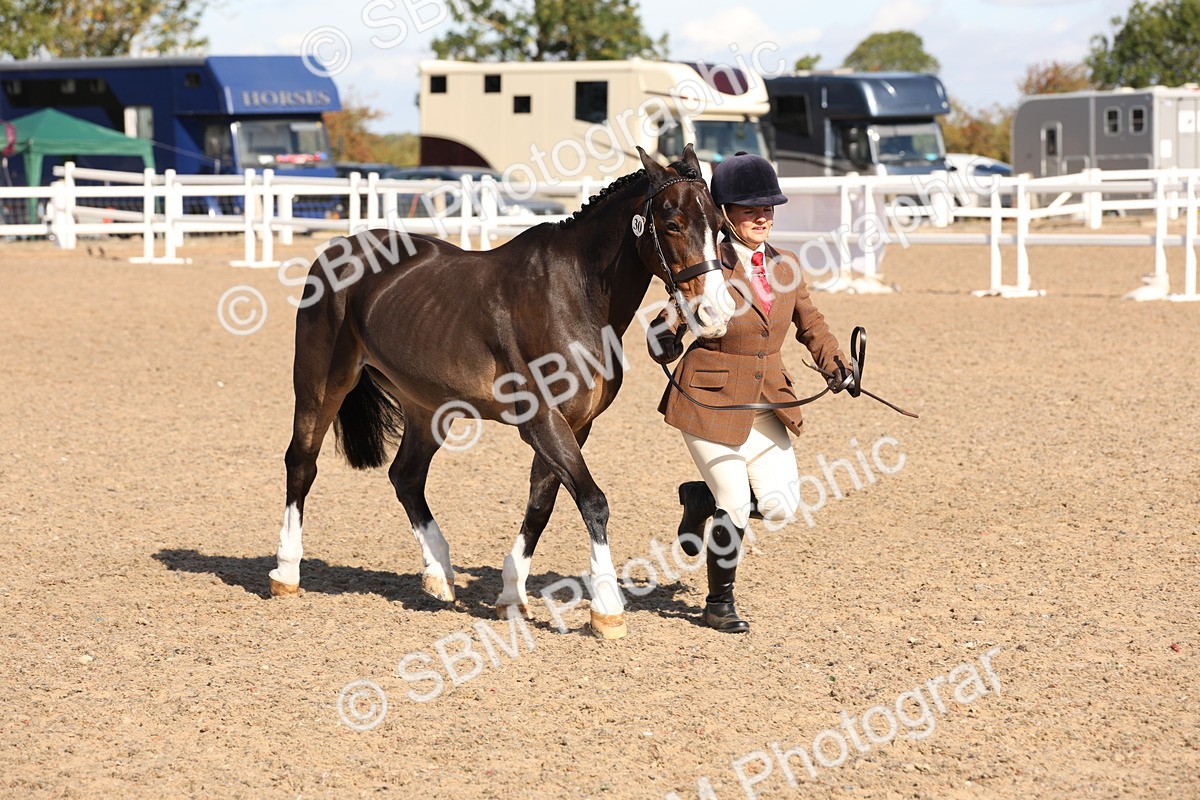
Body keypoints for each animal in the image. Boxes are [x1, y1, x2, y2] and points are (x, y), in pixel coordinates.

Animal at [268, 145, 736, 639]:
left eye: (721, 227)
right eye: (672, 223)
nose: (715, 313)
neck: (574, 295)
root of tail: (339, 248)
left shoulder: (575, 425)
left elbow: (542, 504)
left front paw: (512, 596)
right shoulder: (543, 420)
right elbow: (593, 502)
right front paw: (606, 609)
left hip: (427, 408)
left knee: (406, 477)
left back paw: (440, 575)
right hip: (320, 382)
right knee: (302, 462)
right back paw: (286, 572)